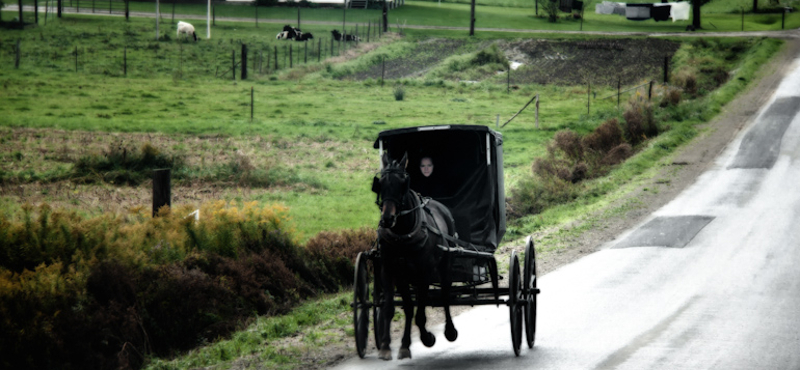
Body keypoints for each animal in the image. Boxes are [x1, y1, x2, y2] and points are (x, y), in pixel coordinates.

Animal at [374, 152, 456, 360]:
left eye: (403, 183)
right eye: (381, 183)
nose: (387, 219)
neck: (402, 235)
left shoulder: (424, 273)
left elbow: (420, 313)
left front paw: (427, 338)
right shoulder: (391, 271)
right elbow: (394, 308)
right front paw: (390, 346)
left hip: (445, 265)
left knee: (445, 294)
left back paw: (450, 331)